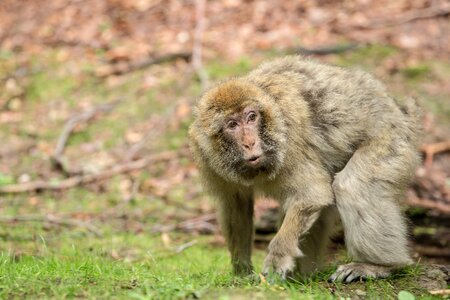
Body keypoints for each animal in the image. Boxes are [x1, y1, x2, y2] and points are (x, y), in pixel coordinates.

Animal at [187, 55, 422, 282]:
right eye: (232, 125)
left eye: (251, 117)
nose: (250, 143)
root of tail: (398, 109)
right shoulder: (206, 157)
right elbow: (236, 207)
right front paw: (242, 271)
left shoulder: (289, 144)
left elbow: (312, 195)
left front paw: (278, 257)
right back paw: (304, 275)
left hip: (391, 137)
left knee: (352, 186)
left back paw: (378, 266)